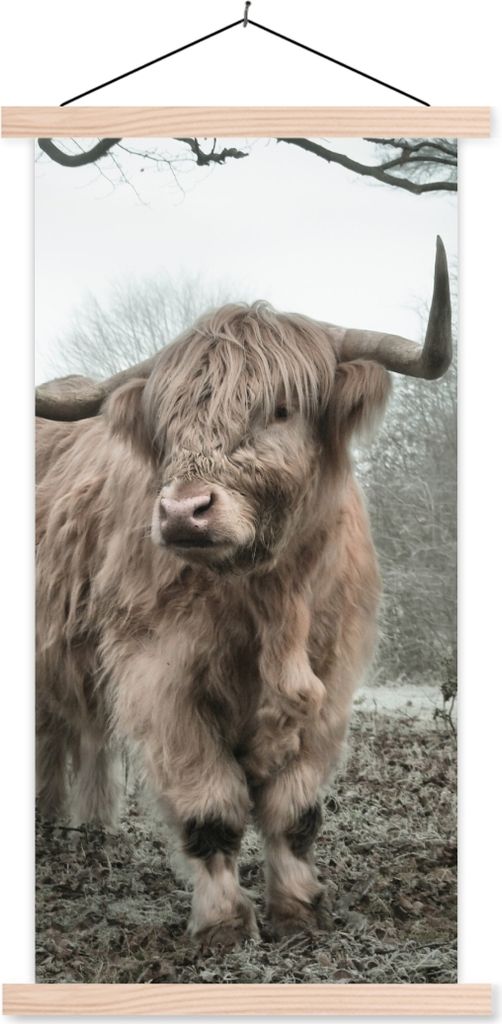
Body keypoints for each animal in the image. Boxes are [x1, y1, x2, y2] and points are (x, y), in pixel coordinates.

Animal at [35, 238, 452, 948]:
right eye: (168, 423)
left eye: (280, 409)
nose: (182, 512)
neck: (270, 599)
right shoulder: (160, 679)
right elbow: (212, 809)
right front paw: (225, 925)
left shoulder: (331, 680)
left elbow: (296, 811)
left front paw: (300, 909)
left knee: (87, 737)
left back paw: (90, 831)